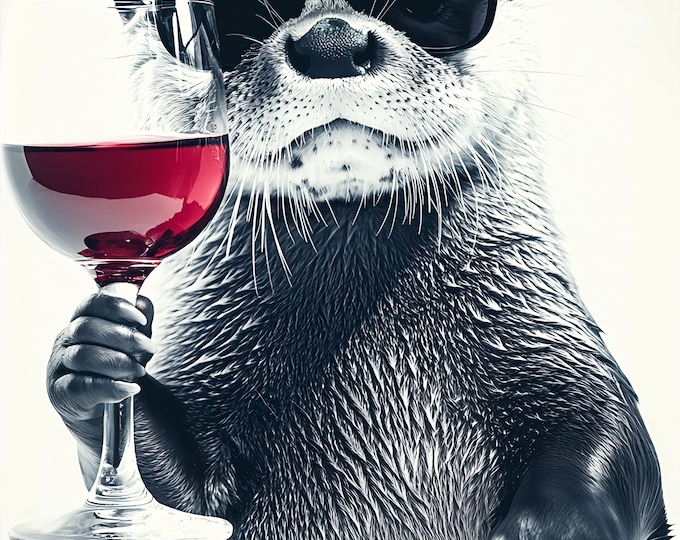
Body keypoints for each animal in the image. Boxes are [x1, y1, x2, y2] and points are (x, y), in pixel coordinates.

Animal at [46, 0, 671, 538]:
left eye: (431, 7)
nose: (331, 39)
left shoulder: (552, 343)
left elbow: (609, 443)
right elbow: (185, 487)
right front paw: (91, 354)